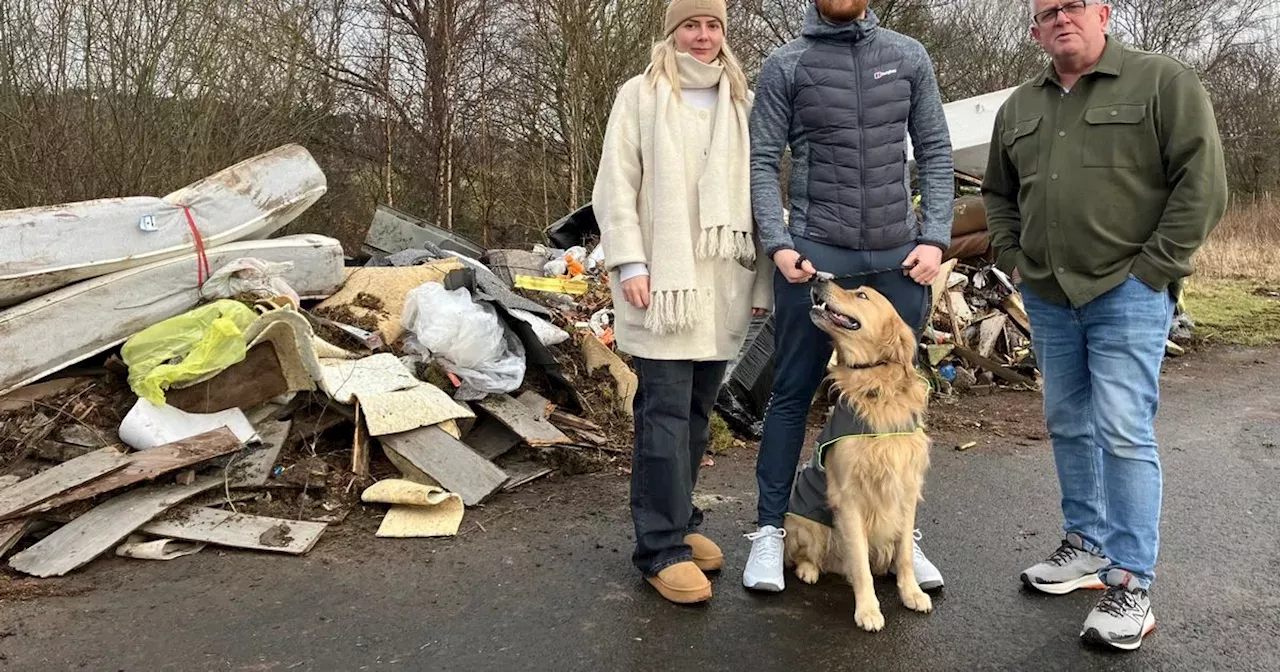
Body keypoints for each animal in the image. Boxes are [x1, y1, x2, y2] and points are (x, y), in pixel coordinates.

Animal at [778, 276, 931, 629]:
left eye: (861, 295)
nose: (818, 276)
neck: (876, 387)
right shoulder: (849, 497)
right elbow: (860, 563)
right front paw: (868, 610)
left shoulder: (906, 488)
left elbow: (905, 552)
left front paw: (912, 592)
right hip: (805, 523)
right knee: (802, 555)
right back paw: (809, 570)